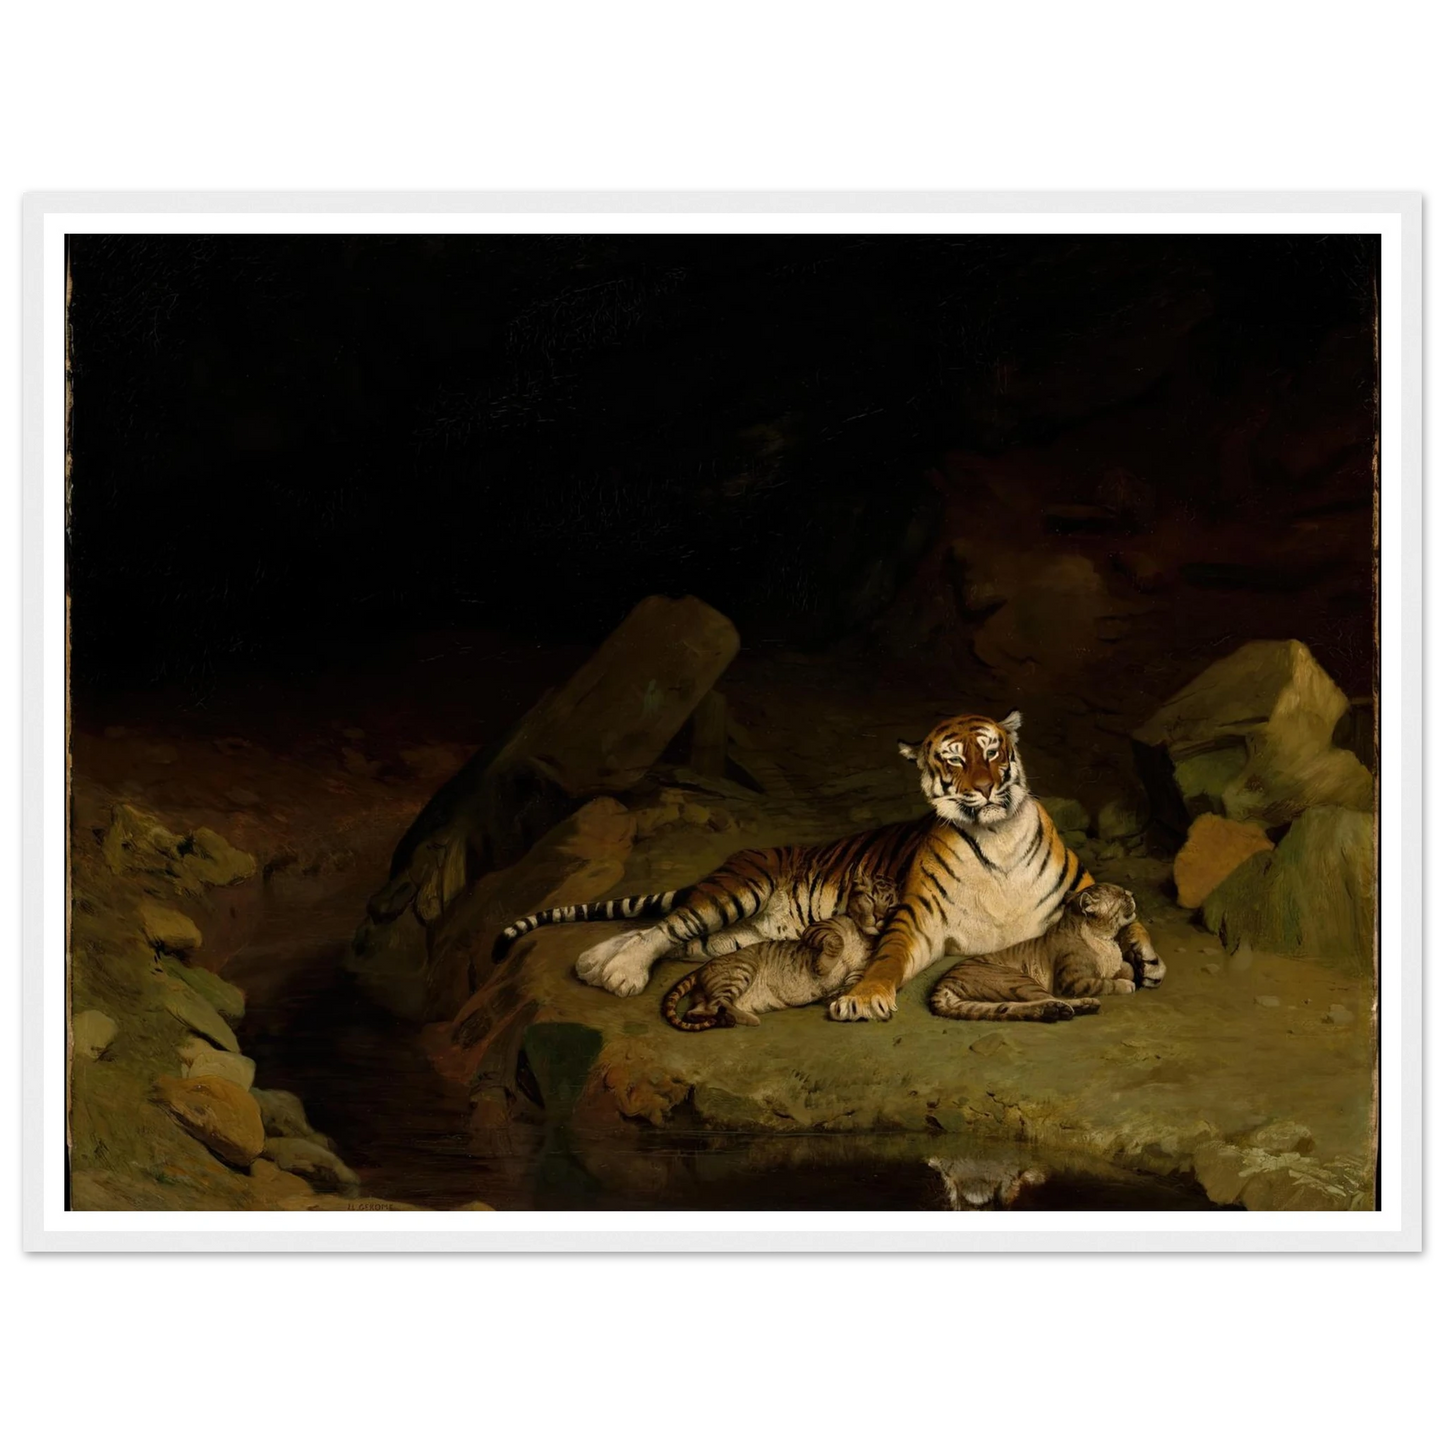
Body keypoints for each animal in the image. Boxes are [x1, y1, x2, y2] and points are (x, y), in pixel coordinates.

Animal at [929, 881, 1157, 1022]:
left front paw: (1135, 970)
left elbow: (1124, 967)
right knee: (1050, 998)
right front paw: (1126, 984)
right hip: (1018, 979)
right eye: (1121, 895)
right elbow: (1103, 983)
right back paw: (1081, 1005)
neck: (1105, 938)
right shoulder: (1071, 982)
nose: (1132, 894)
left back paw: (1057, 1011)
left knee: (1009, 1007)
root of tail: (941, 984)